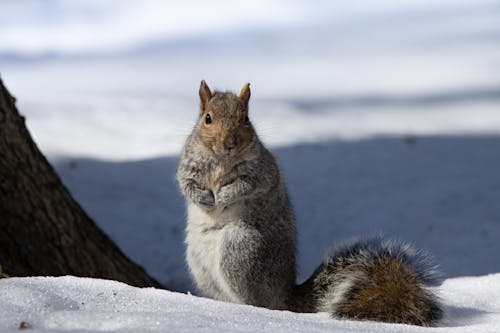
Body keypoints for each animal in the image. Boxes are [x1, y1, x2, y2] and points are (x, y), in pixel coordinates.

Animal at [178, 80, 444, 324]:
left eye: (245, 119)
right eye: (208, 118)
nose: (228, 144)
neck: (220, 160)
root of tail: (284, 296)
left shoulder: (263, 172)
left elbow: (247, 185)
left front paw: (224, 196)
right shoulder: (187, 166)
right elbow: (186, 184)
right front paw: (203, 197)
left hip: (241, 246)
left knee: (258, 301)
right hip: (200, 262)